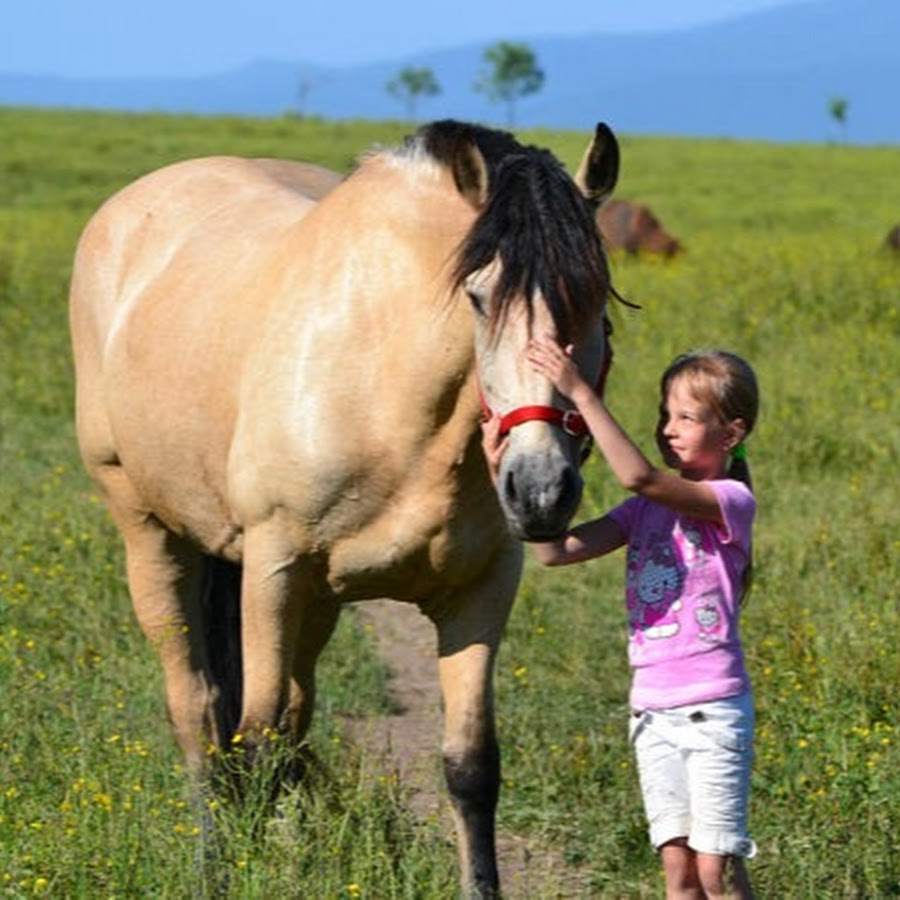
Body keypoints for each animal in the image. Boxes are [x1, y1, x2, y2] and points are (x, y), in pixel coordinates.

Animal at [68, 119, 620, 900]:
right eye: (479, 298)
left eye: (594, 294)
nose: (540, 488)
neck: (392, 397)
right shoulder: (273, 574)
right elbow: (256, 736)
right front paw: (250, 871)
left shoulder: (478, 593)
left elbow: (470, 765)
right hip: (151, 536)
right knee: (199, 710)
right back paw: (213, 859)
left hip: (319, 601)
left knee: (293, 722)